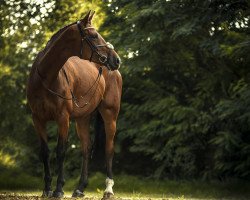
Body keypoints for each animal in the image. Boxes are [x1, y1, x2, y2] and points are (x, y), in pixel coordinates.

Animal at [26, 10, 122, 198]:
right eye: (93, 35)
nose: (116, 60)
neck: (46, 77)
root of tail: (115, 72)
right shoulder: (38, 119)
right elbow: (45, 152)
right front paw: (46, 189)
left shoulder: (63, 118)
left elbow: (61, 151)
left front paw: (58, 189)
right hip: (82, 119)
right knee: (86, 148)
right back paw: (80, 188)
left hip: (110, 115)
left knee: (109, 148)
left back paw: (108, 189)